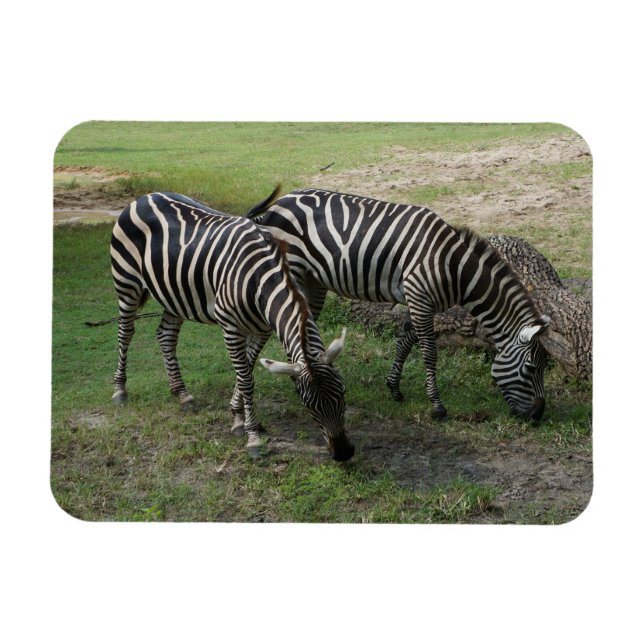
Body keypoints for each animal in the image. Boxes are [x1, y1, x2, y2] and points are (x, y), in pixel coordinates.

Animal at [110, 191, 355, 461]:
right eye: (309, 405)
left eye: (342, 393)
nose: (344, 453)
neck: (261, 278)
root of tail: (145, 196)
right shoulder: (230, 326)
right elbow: (246, 379)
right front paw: (252, 436)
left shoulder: (262, 330)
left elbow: (247, 369)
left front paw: (238, 417)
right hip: (127, 283)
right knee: (125, 333)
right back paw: (120, 390)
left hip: (174, 294)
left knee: (166, 335)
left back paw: (182, 394)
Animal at [246, 188, 550, 421]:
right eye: (531, 369)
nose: (538, 416)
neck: (454, 268)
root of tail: (279, 203)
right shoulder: (419, 296)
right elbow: (429, 352)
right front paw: (437, 407)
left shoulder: (422, 301)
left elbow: (406, 341)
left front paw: (394, 388)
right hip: (290, 272)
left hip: (313, 282)